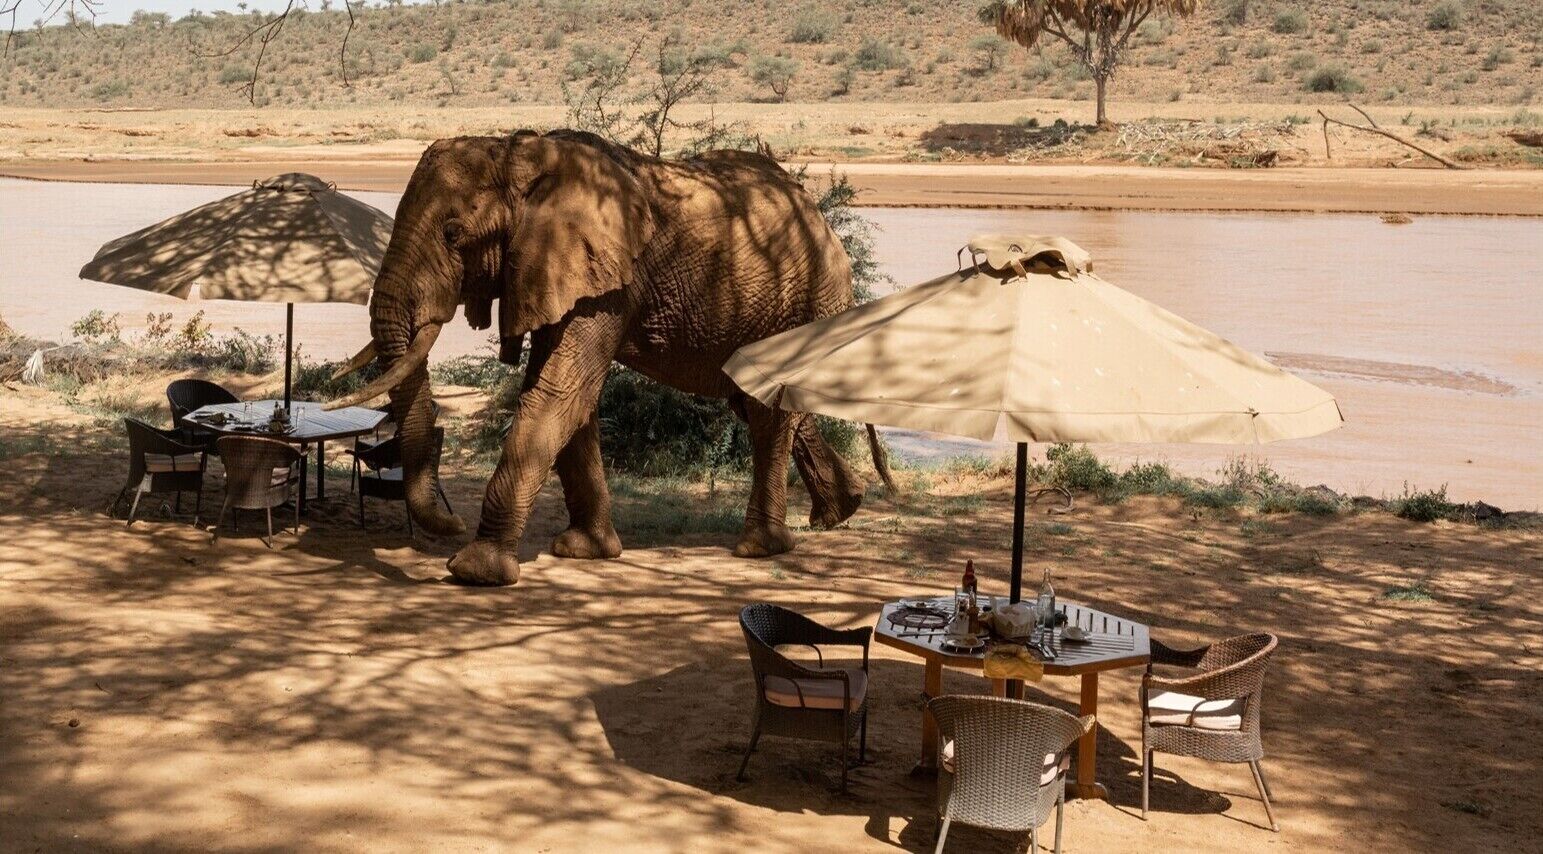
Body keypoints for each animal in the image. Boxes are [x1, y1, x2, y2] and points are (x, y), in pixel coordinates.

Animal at [328, 129, 867, 586]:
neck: (521, 154)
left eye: (453, 233)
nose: (452, 521)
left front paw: (475, 571)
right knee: (757, 405)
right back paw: (840, 510)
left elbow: (558, 391)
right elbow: (569, 398)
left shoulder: (604, 282)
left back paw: (760, 547)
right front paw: (585, 551)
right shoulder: (556, 272)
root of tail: (818, 215)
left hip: (800, 305)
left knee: (766, 413)